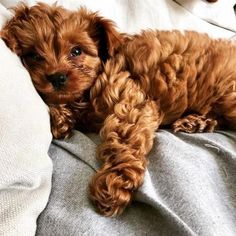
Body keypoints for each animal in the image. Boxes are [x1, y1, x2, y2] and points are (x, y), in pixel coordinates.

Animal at [0, 2, 235, 216]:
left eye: (77, 51)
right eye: (34, 56)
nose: (57, 78)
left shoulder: (131, 99)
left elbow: (123, 140)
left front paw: (114, 183)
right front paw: (60, 118)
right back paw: (196, 122)